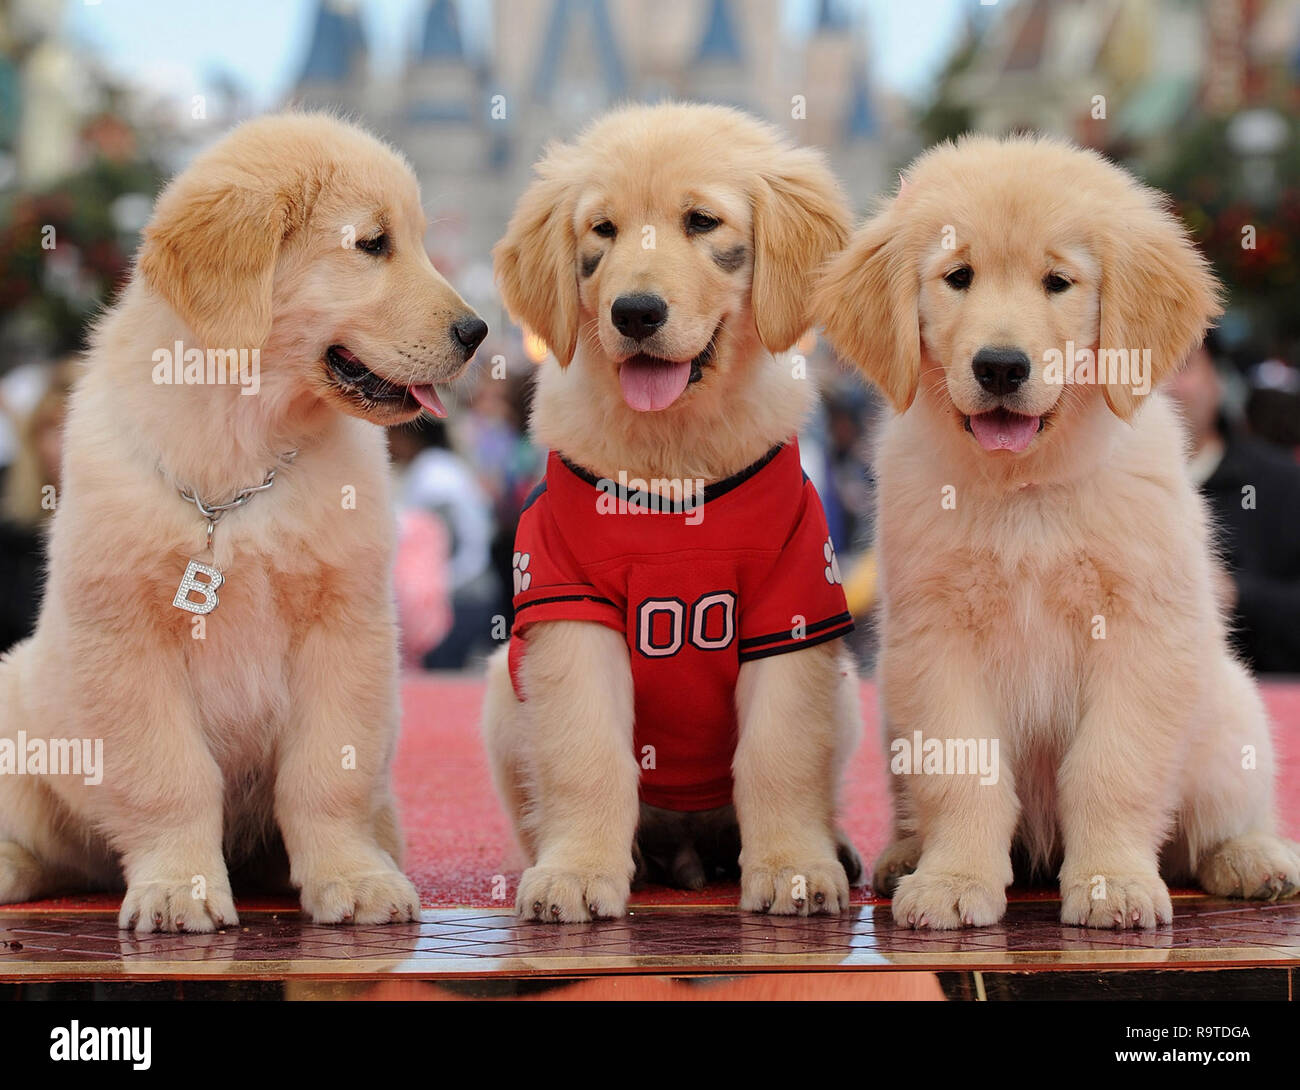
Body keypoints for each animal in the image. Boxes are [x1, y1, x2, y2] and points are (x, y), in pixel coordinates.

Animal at [483, 102, 857, 920]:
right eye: (603, 230)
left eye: (701, 221)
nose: (635, 312)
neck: (673, 454)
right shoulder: (566, 604)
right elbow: (587, 752)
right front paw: (578, 870)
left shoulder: (794, 605)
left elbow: (780, 752)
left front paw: (792, 866)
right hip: (503, 683)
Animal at [811, 136, 1300, 936]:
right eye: (958, 277)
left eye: (1058, 282)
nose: (1001, 366)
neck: (1028, 490)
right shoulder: (937, 638)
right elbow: (965, 773)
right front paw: (952, 879)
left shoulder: (1139, 632)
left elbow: (1111, 769)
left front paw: (1112, 883)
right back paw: (905, 853)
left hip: (1232, 718)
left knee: (1221, 821)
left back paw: (1254, 860)